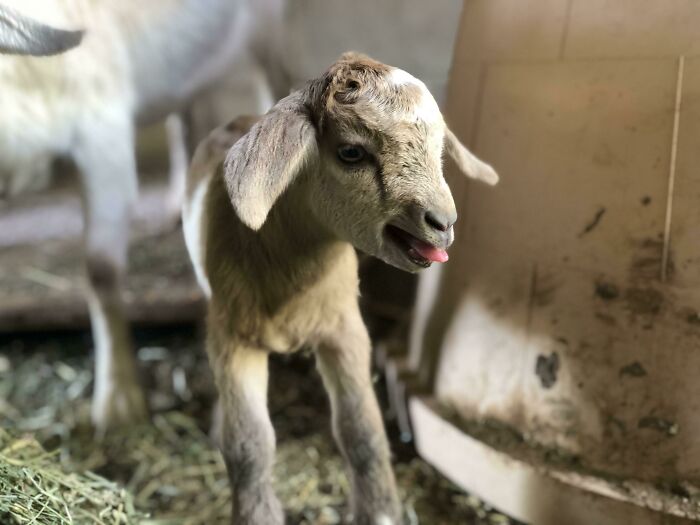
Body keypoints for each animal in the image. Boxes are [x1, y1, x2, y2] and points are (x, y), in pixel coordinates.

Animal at [182, 53, 498, 524]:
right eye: (351, 152)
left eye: (440, 150)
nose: (443, 223)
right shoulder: (232, 335)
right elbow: (249, 447)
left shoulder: (343, 329)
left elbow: (363, 432)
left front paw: (381, 511)